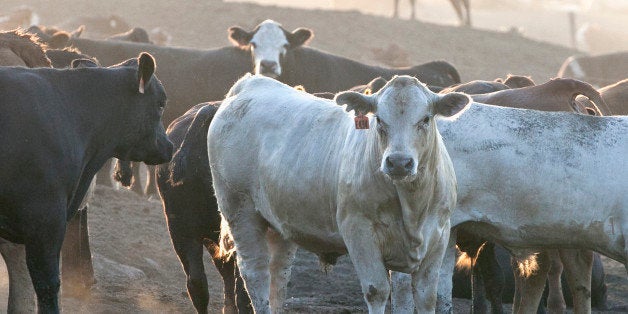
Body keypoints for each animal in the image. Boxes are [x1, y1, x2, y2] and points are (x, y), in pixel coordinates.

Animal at [207, 75, 472, 312]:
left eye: (425, 119)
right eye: (379, 119)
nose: (398, 162)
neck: (413, 205)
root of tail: (250, 83)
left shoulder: (439, 234)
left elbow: (427, 296)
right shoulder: (358, 230)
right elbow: (377, 290)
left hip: (279, 221)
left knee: (279, 274)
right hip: (240, 209)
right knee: (255, 273)